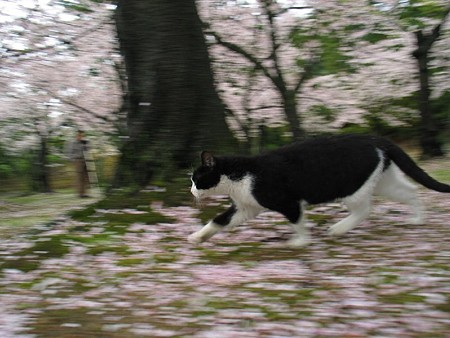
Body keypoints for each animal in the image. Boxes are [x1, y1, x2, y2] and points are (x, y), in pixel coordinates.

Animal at [188, 133, 450, 247]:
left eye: (195, 179)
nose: (190, 190)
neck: (239, 175)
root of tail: (376, 139)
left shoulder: (288, 203)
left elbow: (297, 222)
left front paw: (301, 242)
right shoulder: (245, 207)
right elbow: (219, 220)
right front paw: (197, 237)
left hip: (350, 187)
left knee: (365, 209)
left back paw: (338, 229)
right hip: (384, 182)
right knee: (410, 191)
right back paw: (417, 218)